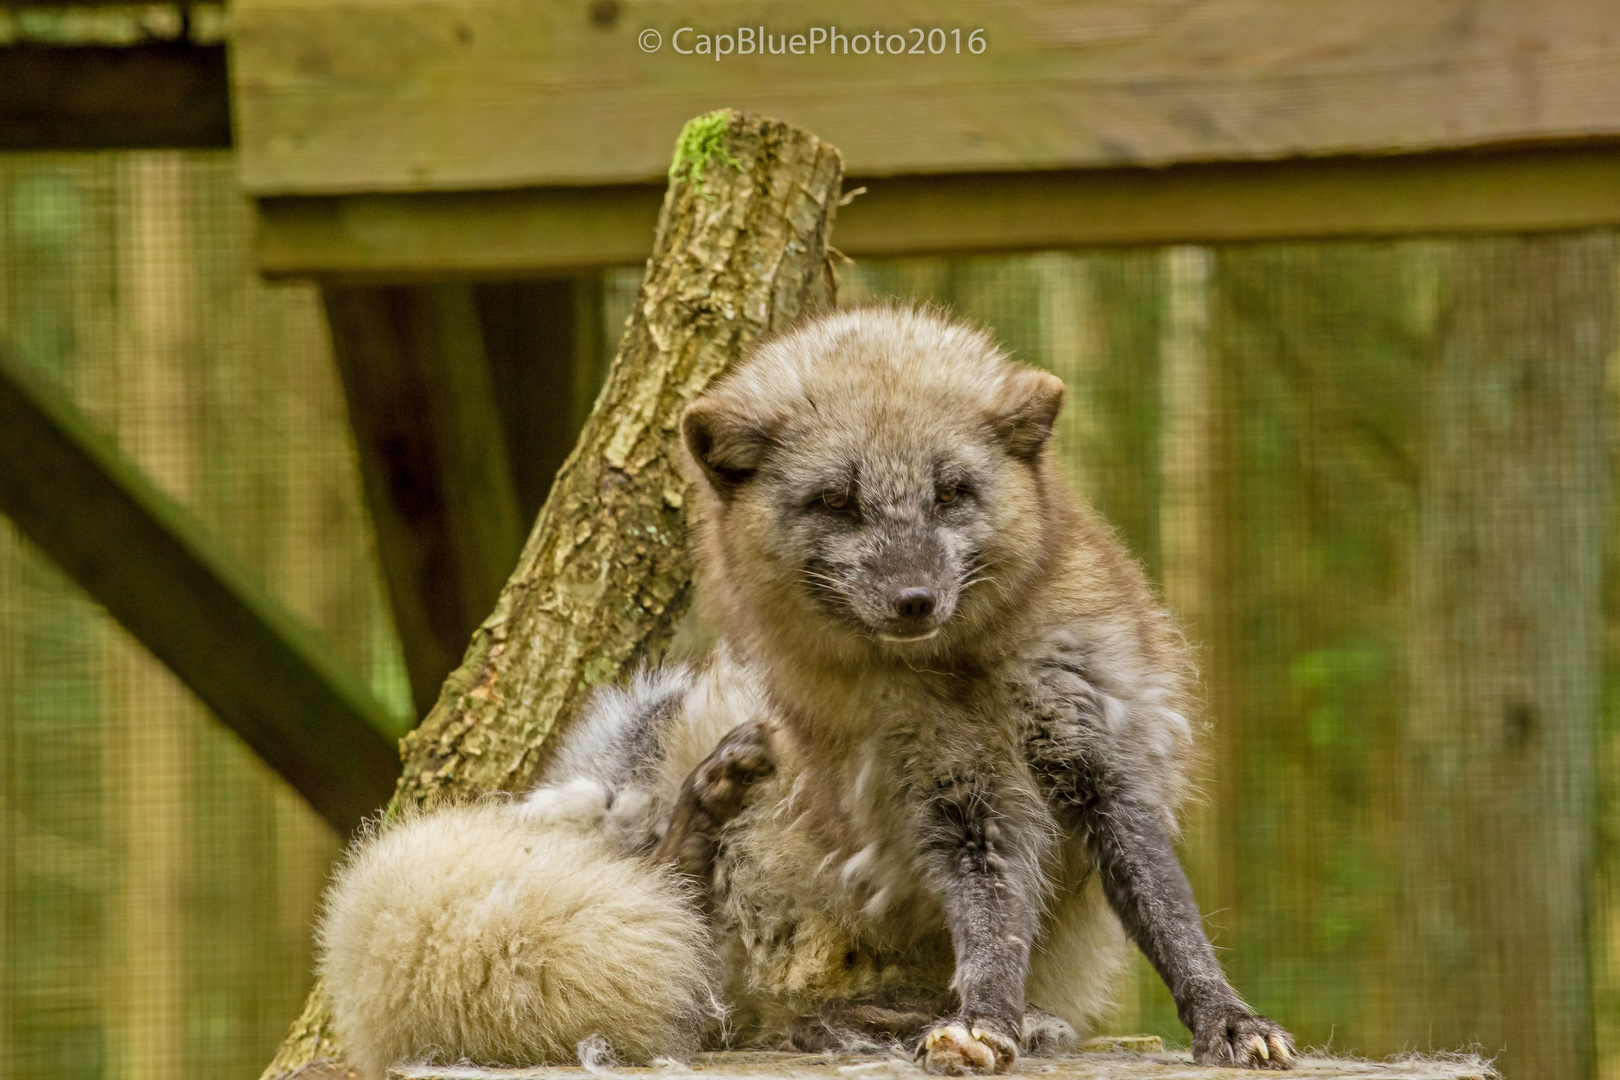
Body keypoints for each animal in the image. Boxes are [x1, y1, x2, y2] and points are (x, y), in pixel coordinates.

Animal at [319, 306, 1289, 1080]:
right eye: (837, 502)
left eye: (952, 492)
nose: (914, 601)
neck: (968, 675)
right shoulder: (955, 801)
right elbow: (991, 926)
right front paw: (985, 1020)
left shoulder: (1101, 766)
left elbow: (1169, 914)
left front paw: (1228, 1020)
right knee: (711, 966)